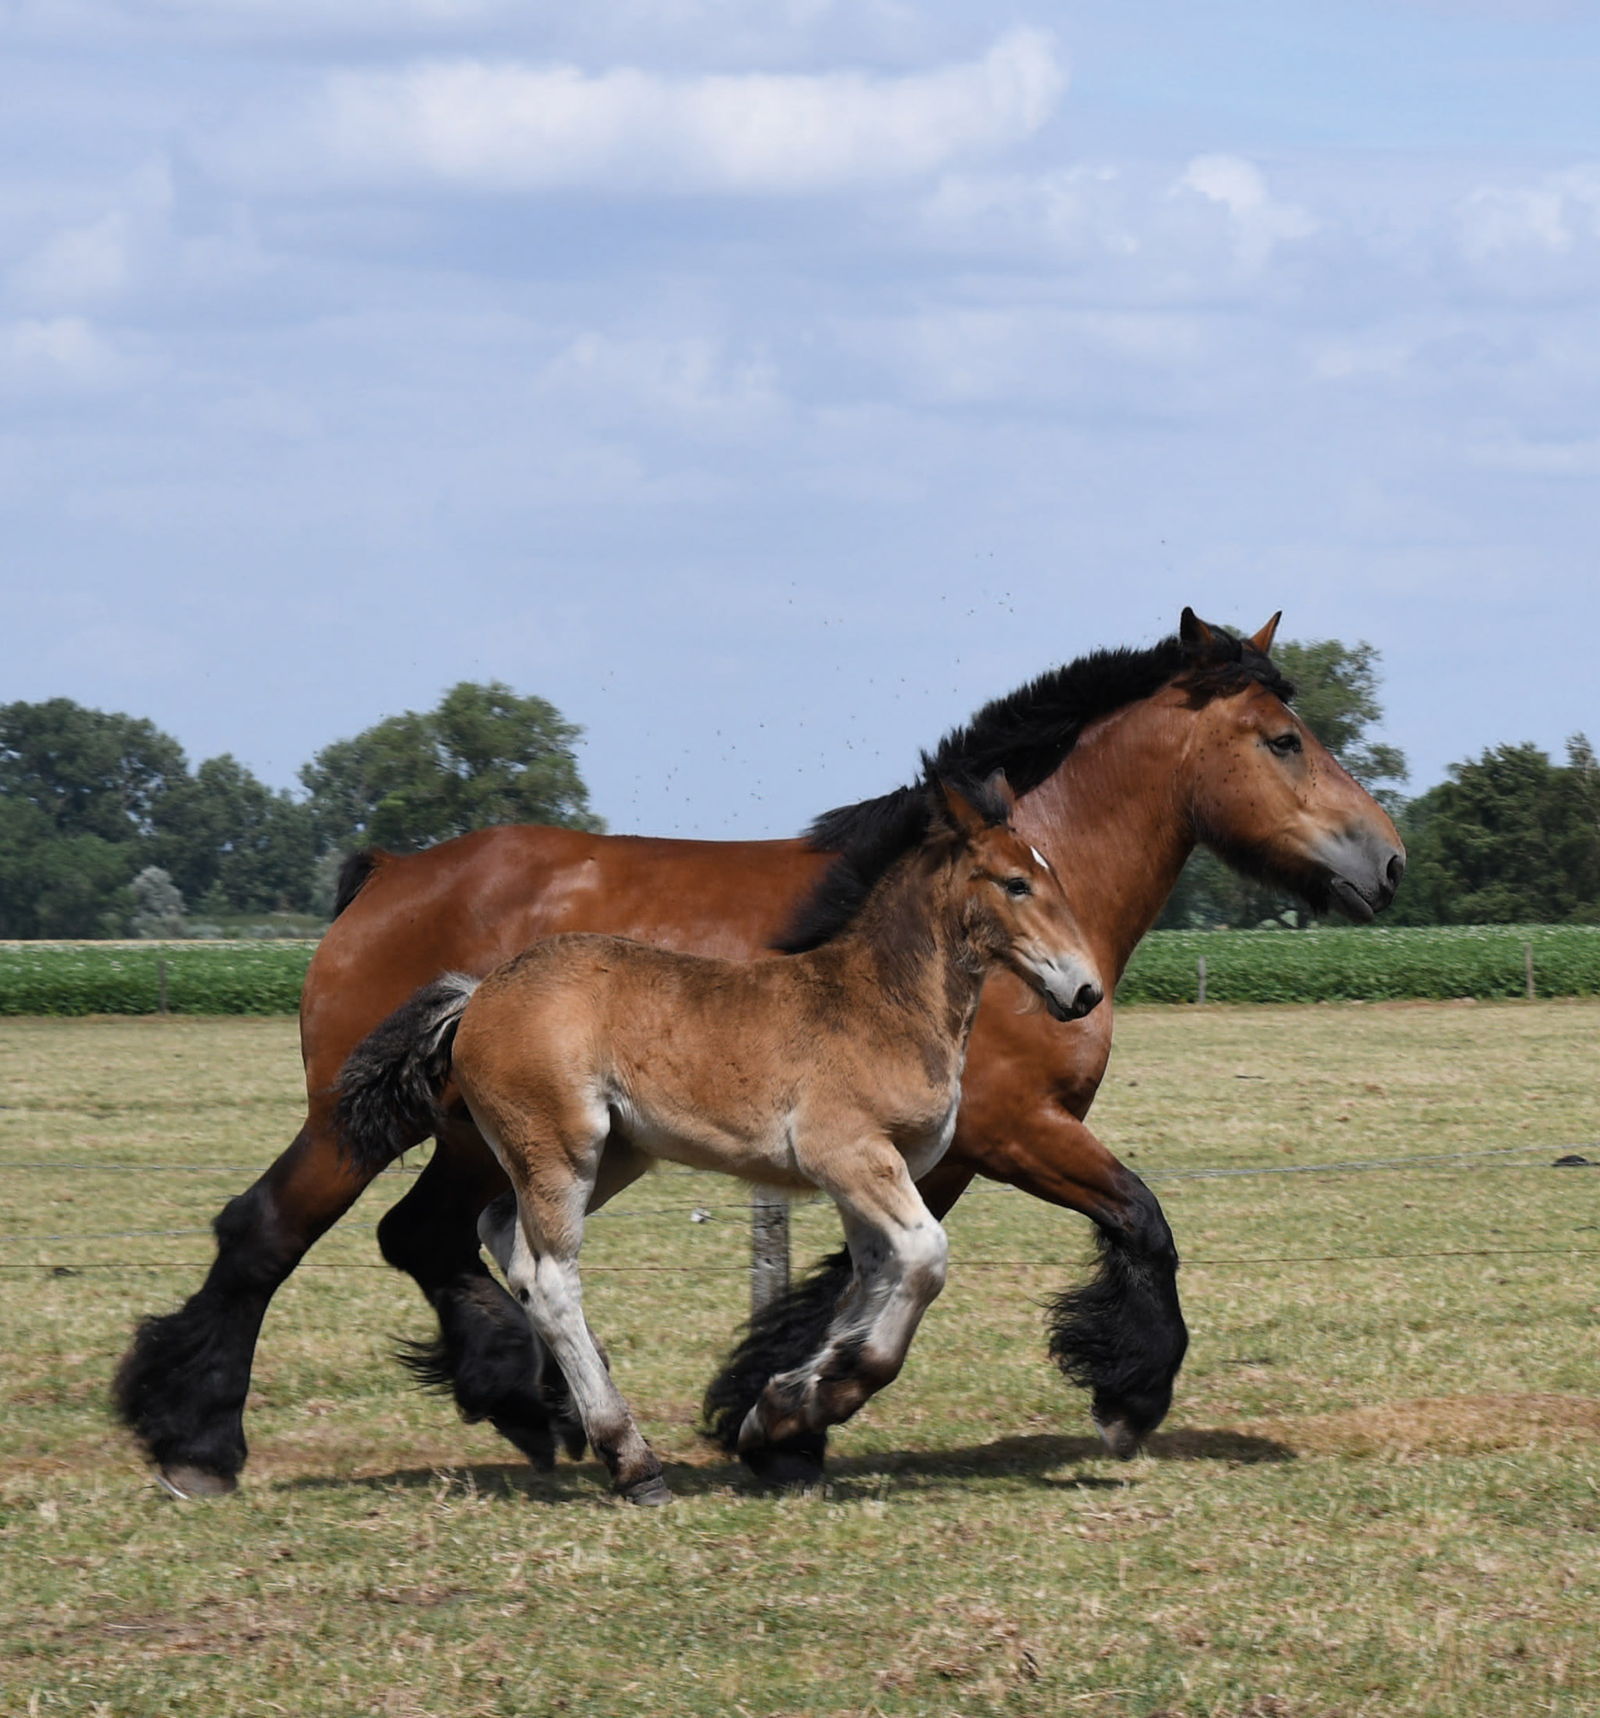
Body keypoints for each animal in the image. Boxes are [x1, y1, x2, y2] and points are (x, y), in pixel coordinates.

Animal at [338, 773, 1106, 1498]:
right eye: (1016, 883)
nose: (1086, 991)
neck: (878, 1002)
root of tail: (479, 994)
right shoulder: (849, 1155)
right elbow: (921, 1260)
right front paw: (821, 1396)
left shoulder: (874, 1175)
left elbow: (868, 1280)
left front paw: (785, 1411)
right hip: (560, 1150)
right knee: (549, 1277)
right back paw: (632, 1461)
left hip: (609, 1157)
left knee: (503, 1230)